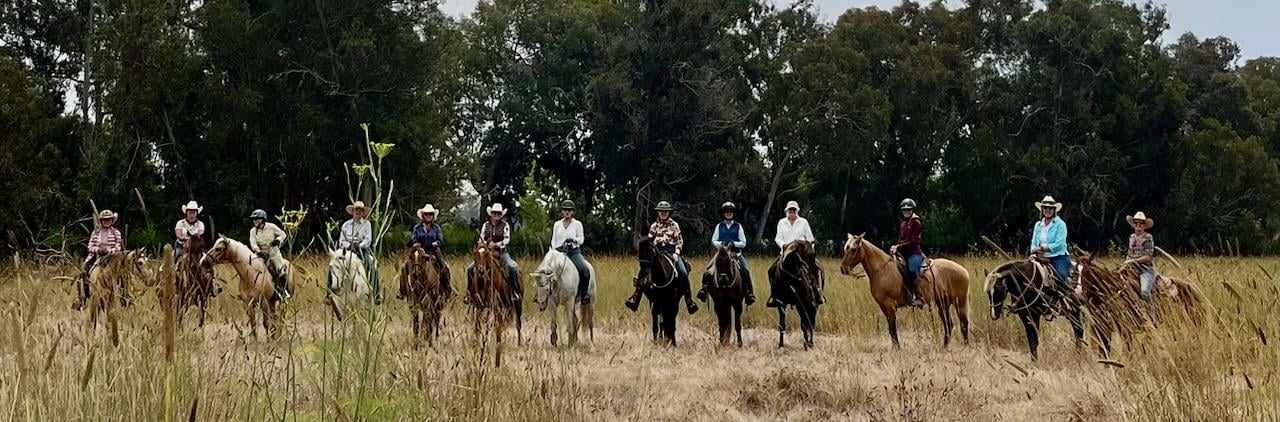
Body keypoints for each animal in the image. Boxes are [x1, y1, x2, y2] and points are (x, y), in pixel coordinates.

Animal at [839, 232, 967, 347]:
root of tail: (963, 270)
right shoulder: (883, 306)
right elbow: (890, 330)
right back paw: (944, 346)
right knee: (949, 324)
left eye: (853, 249)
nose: (843, 269)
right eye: (846, 248)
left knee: (963, 322)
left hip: (959, 301)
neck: (882, 270)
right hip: (943, 303)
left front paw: (897, 349)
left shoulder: (890, 306)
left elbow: (893, 329)